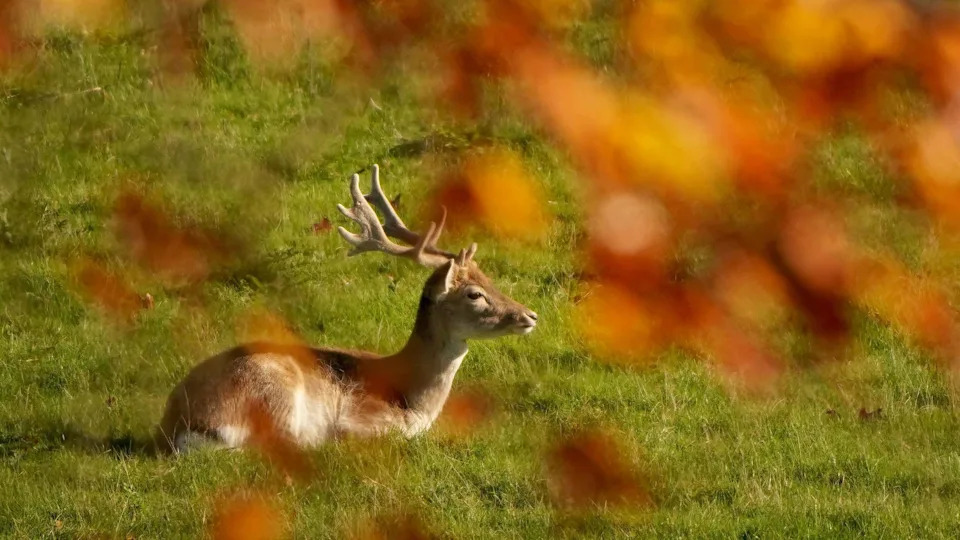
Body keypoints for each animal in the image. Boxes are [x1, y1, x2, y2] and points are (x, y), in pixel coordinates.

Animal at [156, 165, 539, 453]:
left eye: (489, 277)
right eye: (474, 294)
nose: (530, 315)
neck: (412, 395)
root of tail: (178, 423)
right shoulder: (363, 419)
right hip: (273, 392)